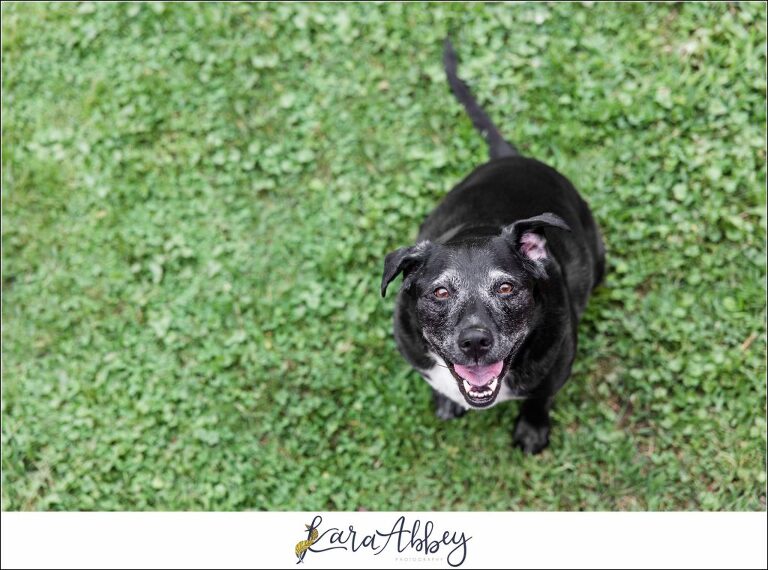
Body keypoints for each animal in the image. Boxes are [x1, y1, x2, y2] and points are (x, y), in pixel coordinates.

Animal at [380, 41, 604, 452]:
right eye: (439, 292)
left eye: (506, 287)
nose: (474, 342)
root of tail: (510, 157)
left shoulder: (558, 365)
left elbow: (539, 398)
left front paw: (532, 429)